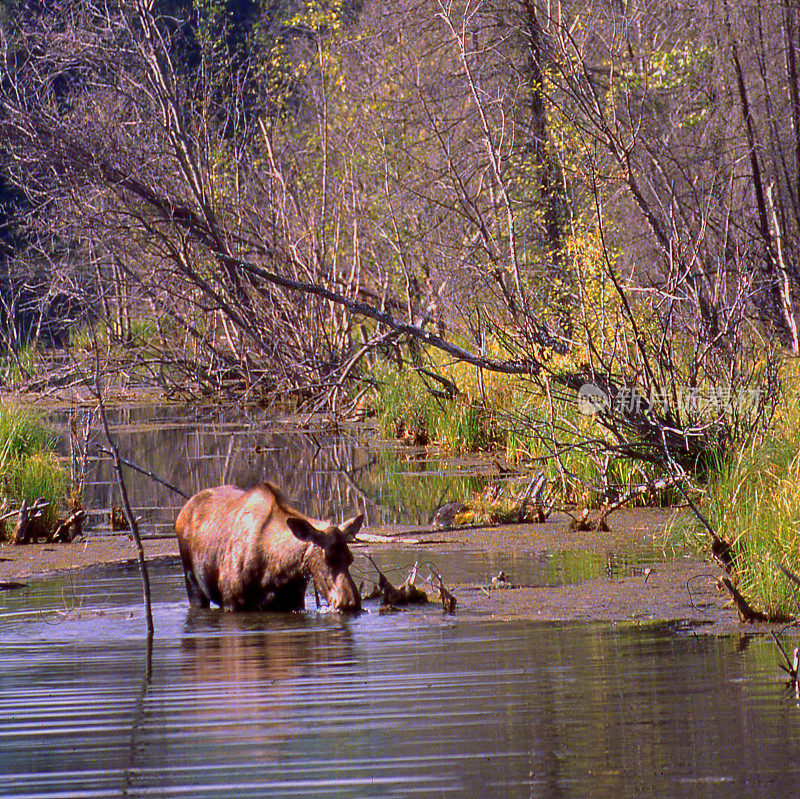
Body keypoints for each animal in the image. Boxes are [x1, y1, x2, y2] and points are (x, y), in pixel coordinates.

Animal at [176, 482, 366, 612]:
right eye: (327, 559)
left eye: (350, 559)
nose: (350, 602)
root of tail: (183, 511)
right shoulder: (231, 602)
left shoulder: (294, 602)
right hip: (192, 580)